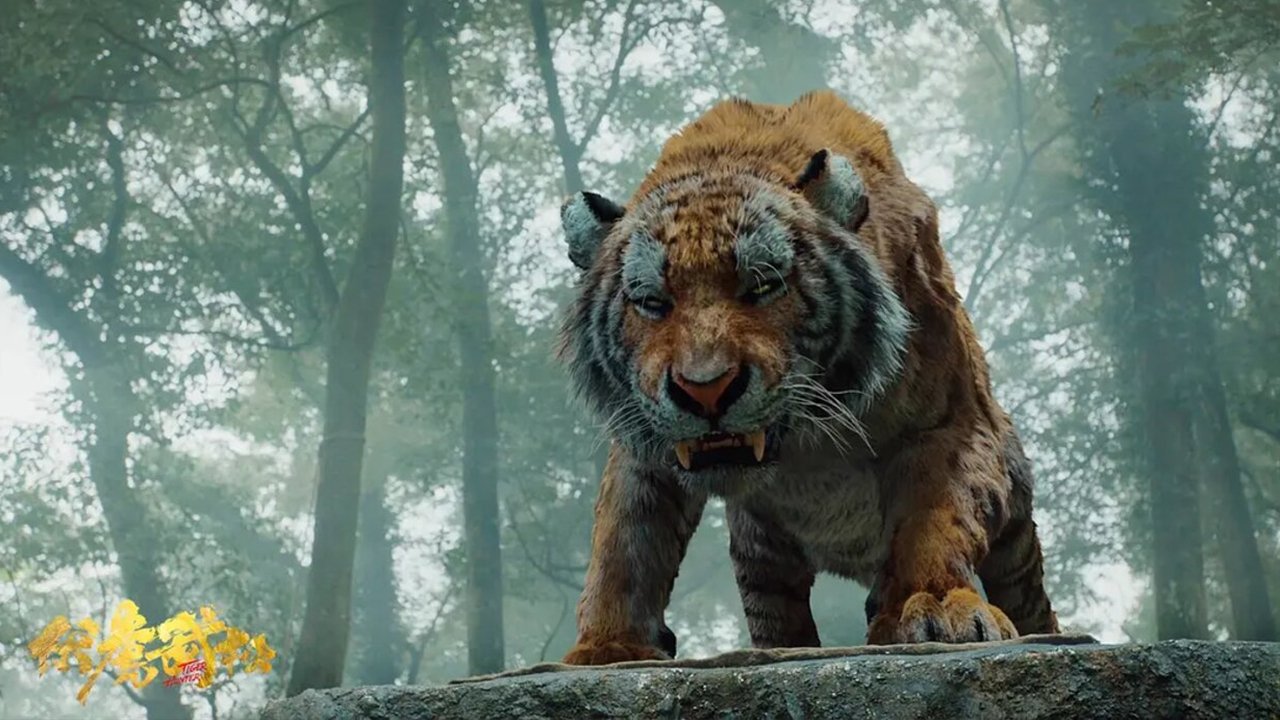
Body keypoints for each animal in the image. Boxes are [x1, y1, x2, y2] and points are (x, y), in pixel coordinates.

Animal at [556, 90, 1059, 664]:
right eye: (652, 303)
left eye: (762, 286)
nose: (704, 389)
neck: (806, 446)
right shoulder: (644, 439)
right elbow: (625, 539)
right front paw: (607, 646)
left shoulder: (946, 424)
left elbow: (933, 516)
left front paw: (935, 606)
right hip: (763, 558)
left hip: (1016, 536)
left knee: (1027, 594)